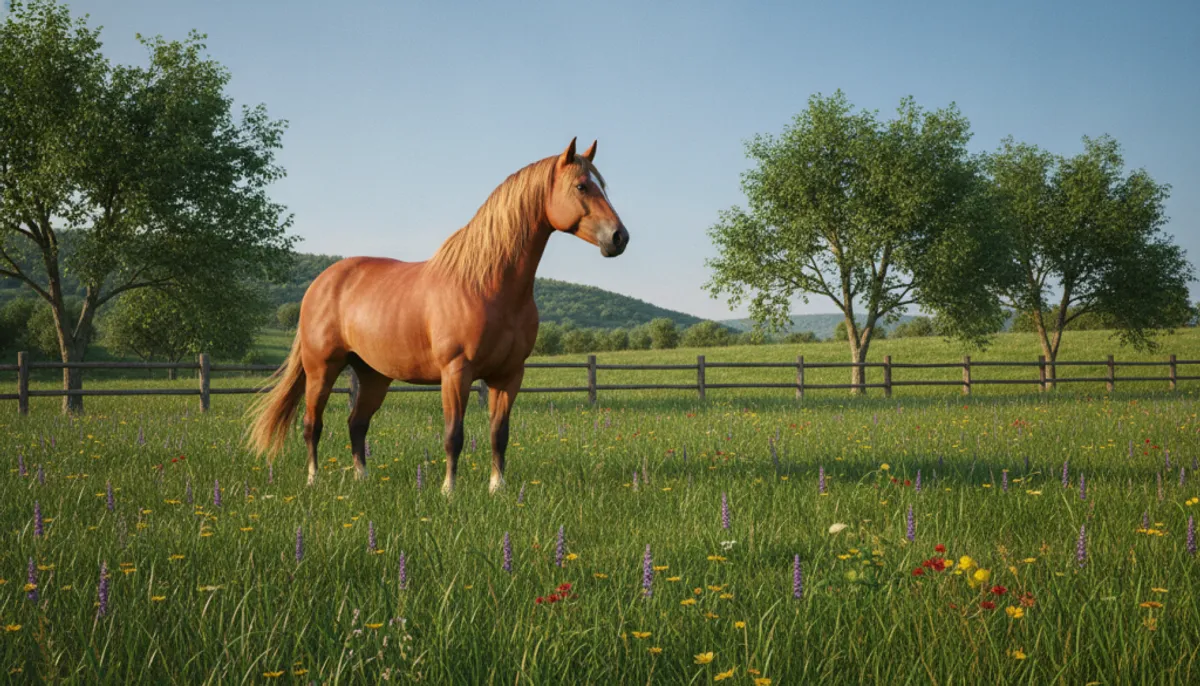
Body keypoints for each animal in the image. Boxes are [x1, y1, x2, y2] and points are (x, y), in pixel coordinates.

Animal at [245, 138, 629, 495]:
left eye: (601, 185)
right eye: (582, 186)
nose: (619, 237)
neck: (485, 284)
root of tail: (321, 282)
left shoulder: (509, 375)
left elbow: (499, 434)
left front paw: (498, 488)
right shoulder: (456, 372)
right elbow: (453, 435)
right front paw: (449, 491)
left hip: (373, 375)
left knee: (357, 423)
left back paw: (362, 479)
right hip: (321, 370)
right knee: (313, 424)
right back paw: (314, 481)